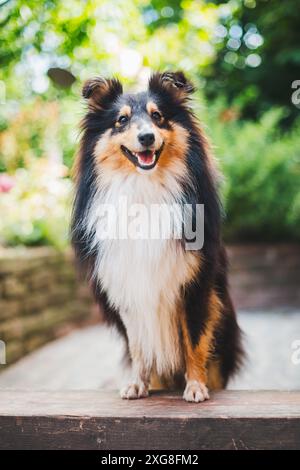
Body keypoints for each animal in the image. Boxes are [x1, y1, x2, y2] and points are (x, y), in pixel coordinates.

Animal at [72, 71, 244, 402]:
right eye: (121, 120)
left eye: (158, 116)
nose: (146, 138)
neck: (144, 187)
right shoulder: (128, 286)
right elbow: (139, 345)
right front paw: (137, 385)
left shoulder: (194, 285)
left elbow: (194, 339)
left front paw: (196, 386)